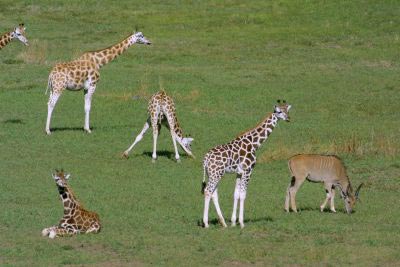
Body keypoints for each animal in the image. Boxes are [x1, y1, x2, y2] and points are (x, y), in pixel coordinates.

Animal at [203, 100, 290, 228]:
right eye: (279, 111)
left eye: (287, 110)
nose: (288, 118)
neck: (254, 144)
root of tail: (205, 159)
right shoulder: (248, 170)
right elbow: (243, 195)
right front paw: (242, 223)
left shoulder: (239, 172)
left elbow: (236, 194)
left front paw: (233, 222)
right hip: (216, 174)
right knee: (208, 191)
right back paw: (206, 223)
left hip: (213, 174)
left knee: (213, 193)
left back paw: (223, 223)